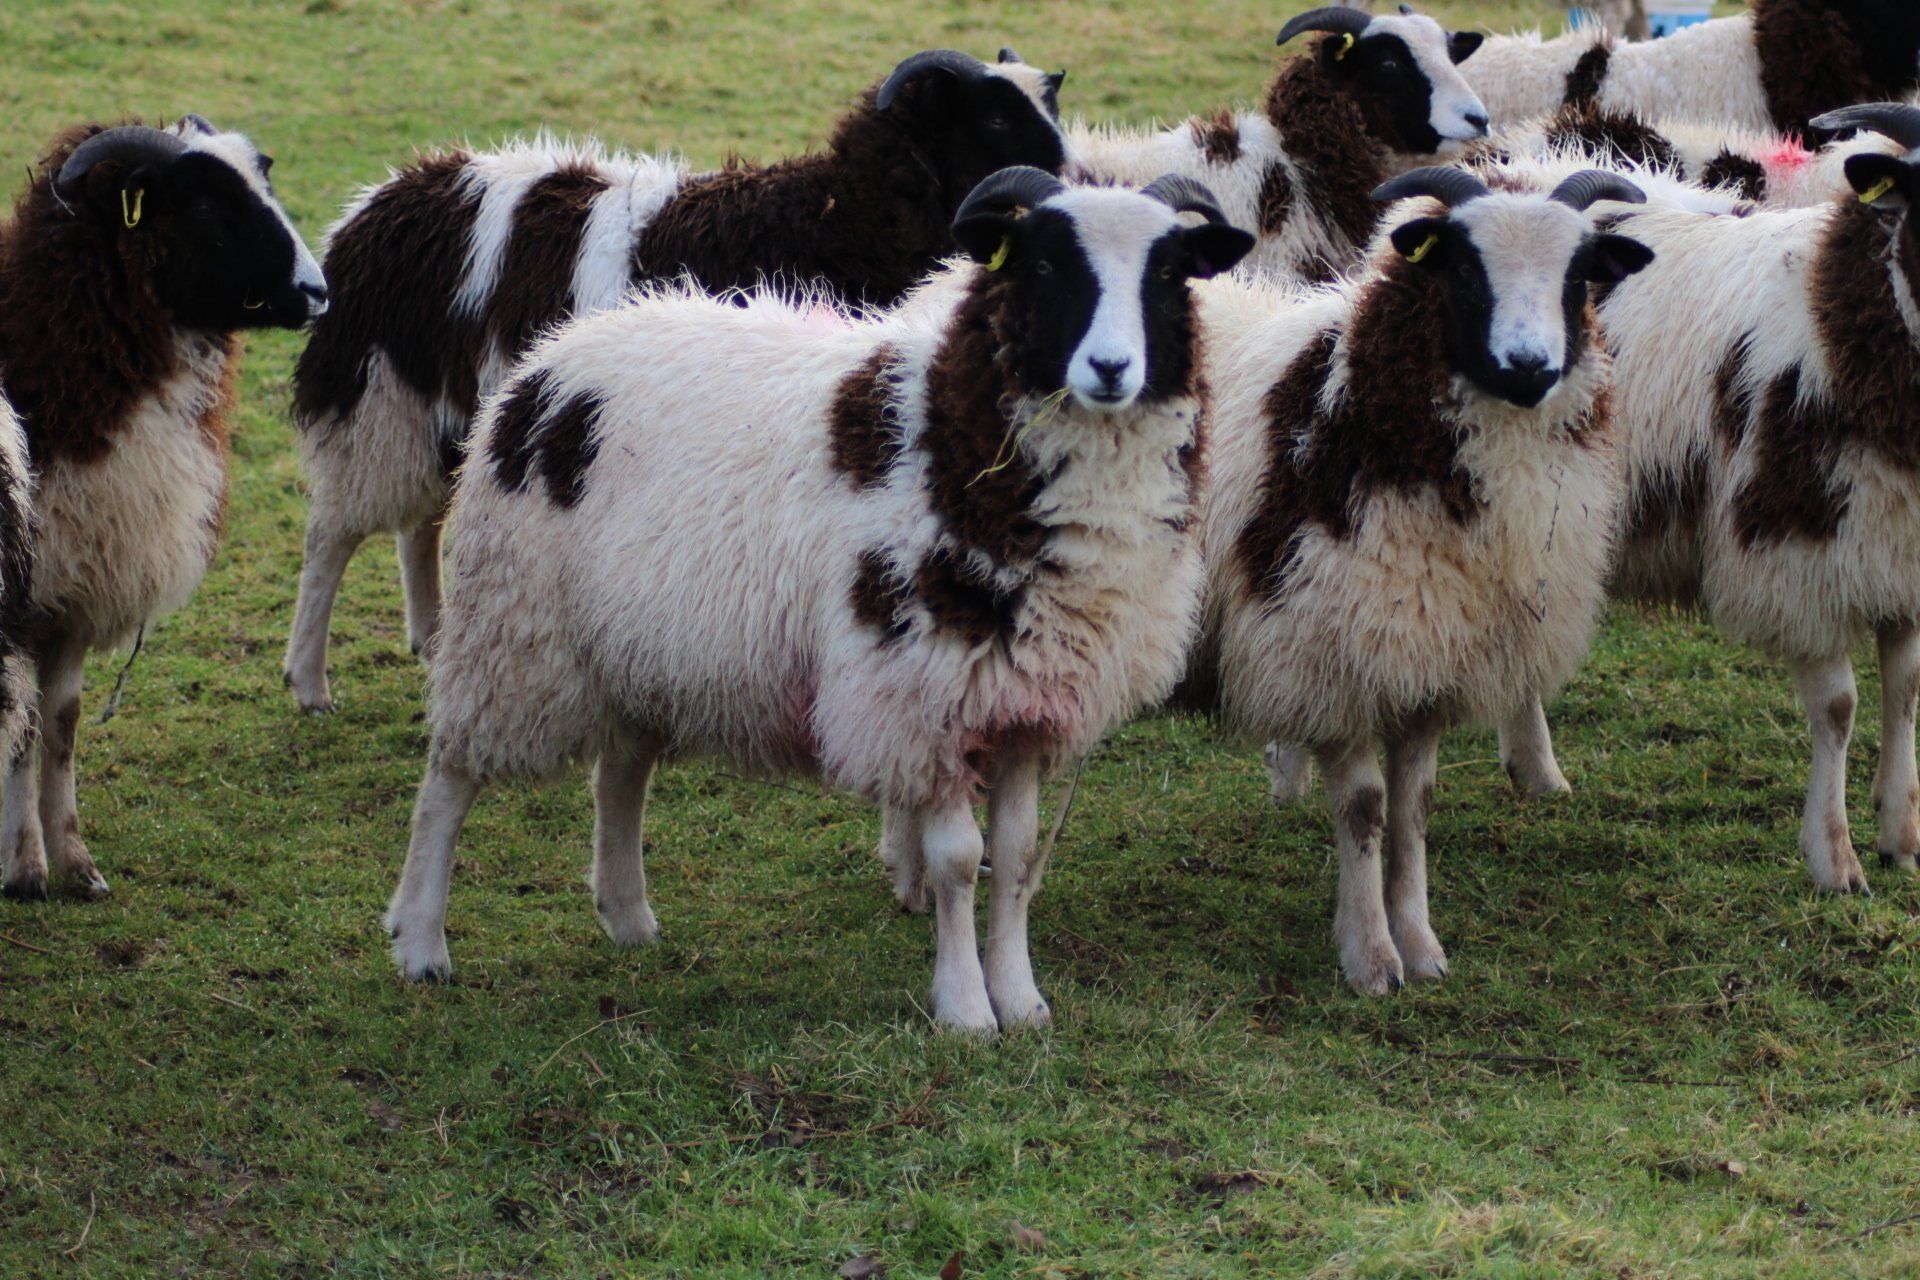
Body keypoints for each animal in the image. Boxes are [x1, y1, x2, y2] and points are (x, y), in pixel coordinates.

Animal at [0, 118, 327, 900]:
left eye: (264, 178)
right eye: (205, 206)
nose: (317, 290)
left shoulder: (76, 590)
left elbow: (61, 723)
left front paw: (77, 864)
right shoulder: (28, 595)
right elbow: (25, 730)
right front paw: (25, 868)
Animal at [285, 48, 1076, 714]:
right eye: (995, 116)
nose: (1068, 189)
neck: (834, 218)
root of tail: (375, 203)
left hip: (440, 413)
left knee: (418, 522)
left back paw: (430, 637)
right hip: (377, 400)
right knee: (331, 536)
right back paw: (309, 681)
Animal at [382, 168, 1255, 1033]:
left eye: (1169, 273)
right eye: (1043, 263)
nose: (1110, 368)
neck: (958, 443)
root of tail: (550, 359)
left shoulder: (1026, 698)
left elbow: (1015, 856)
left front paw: (1022, 1000)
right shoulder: (924, 691)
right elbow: (958, 861)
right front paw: (967, 1010)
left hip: (638, 643)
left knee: (620, 772)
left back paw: (628, 918)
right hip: (515, 626)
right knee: (450, 776)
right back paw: (421, 942)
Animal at [1191, 167, 1652, 993]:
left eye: (1578, 274)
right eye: (1463, 267)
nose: (1530, 366)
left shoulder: (1432, 650)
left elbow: (1414, 806)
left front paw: (1421, 943)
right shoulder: (1335, 650)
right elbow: (1367, 809)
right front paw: (1372, 957)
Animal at [1486, 103, 1920, 895]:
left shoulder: (1892, 541)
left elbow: (1903, 689)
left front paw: (1900, 835)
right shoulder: (1794, 547)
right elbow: (1839, 708)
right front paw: (1834, 860)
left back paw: (1535, 771)